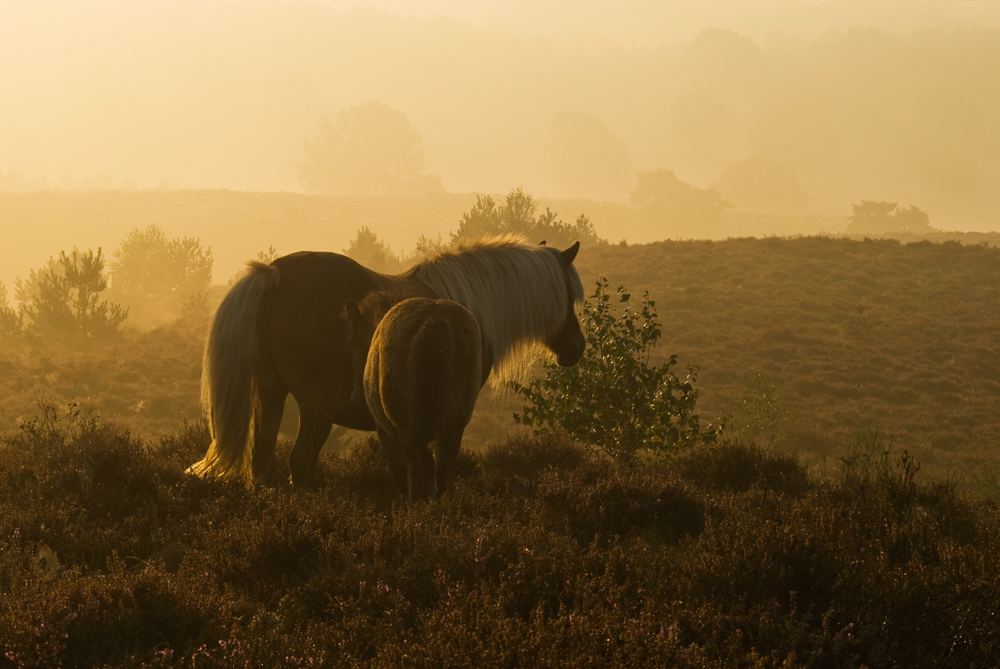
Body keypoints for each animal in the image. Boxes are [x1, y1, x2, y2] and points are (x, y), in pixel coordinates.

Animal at [346, 294, 482, 498]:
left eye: (352, 342)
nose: (355, 400)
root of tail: (434, 323)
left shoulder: (386, 431)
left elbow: (400, 473)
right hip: (453, 427)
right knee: (442, 473)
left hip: (411, 430)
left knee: (424, 470)